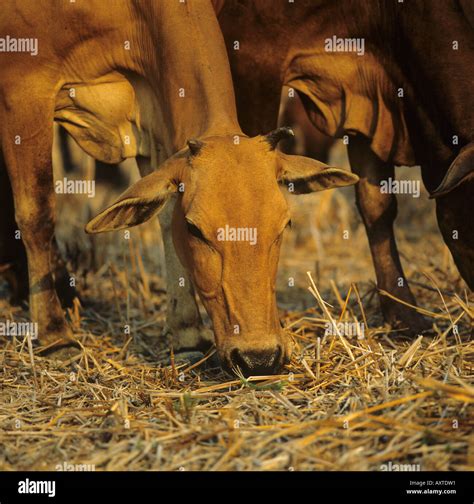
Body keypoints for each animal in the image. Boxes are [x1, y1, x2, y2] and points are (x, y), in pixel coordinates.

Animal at [0, 0, 356, 376]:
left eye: (285, 226)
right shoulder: (23, 90)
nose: (258, 357)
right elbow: (37, 213)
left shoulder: (153, 117)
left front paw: (187, 334)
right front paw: (55, 335)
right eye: (196, 230)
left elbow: (164, 214)